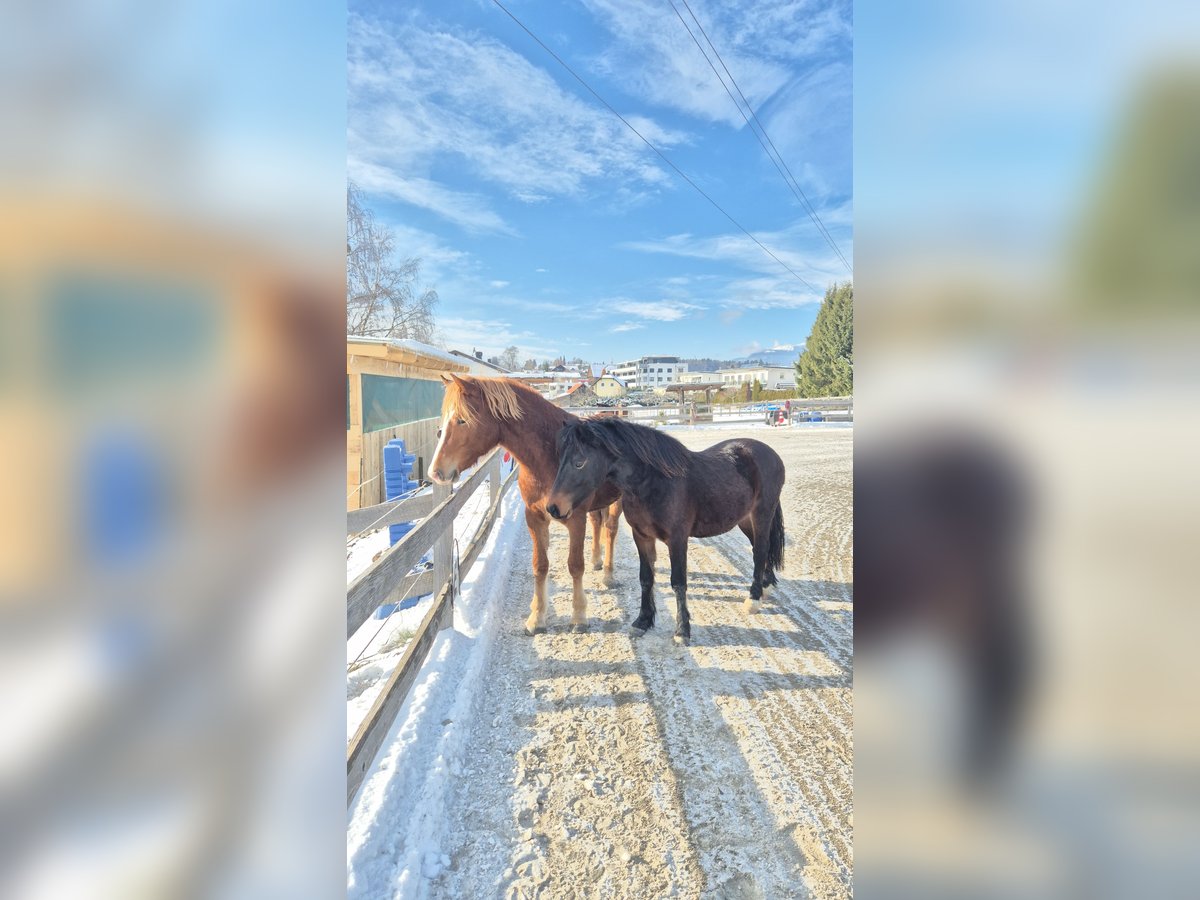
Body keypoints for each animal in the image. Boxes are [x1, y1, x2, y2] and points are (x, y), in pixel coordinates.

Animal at [427, 374, 623, 635]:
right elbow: (540, 565)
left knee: (611, 529)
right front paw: (537, 618)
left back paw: (609, 575)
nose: (435, 472)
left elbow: (575, 565)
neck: (552, 457)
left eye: (461, 419)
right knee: (598, 523)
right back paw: (597, 561)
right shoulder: (534, 517)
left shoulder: (575, 519)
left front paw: (579, 617)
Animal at [546, 417, 786, 645]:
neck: (655, 482)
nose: (553, 508)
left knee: (760, 551)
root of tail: (770, 454)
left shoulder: (677, 540)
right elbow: (646, 578)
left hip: (762, 514)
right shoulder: (641, 536)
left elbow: (678, 582)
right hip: (745, 519)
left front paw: (682, 631)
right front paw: (642, 621)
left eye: (579, 463)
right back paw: (766, 586)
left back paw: (753, 599)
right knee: (760, 548)